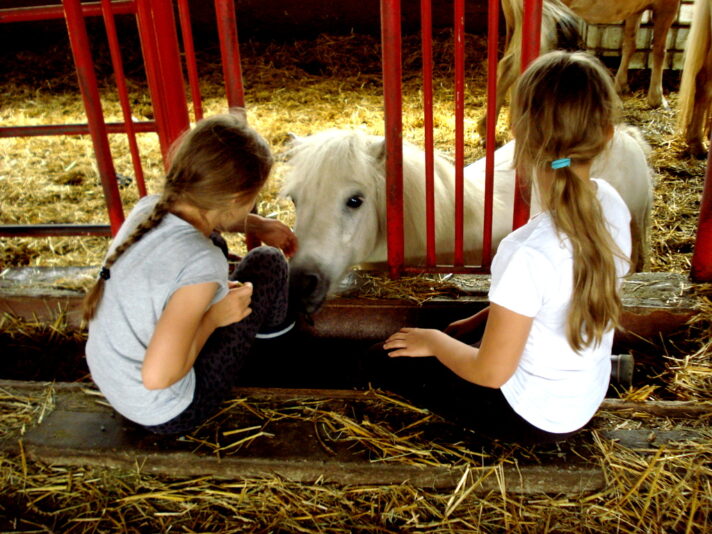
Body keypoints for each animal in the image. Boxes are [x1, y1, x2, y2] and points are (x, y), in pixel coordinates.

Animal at [478, 0, 681, 140]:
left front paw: (621, 85)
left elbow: (630, 44)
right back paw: (486, 128)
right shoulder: (667, 5)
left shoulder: (635, 9)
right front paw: (657, 98)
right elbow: (659, 50)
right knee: (508, 66)